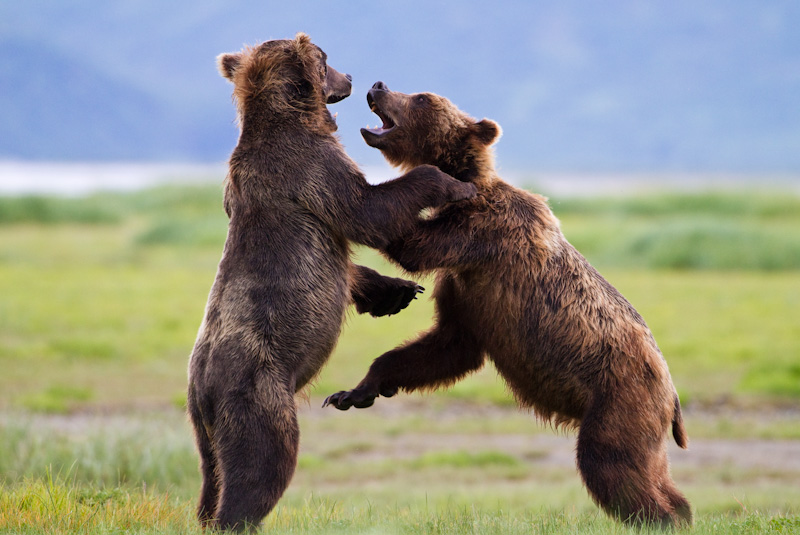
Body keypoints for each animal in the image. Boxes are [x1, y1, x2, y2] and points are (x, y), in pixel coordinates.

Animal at [188, 37, 476, 532]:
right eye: (326, 59)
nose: (353, 77)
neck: (293, 117)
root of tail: (204, 389)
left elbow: (349, 264)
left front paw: (396, 292)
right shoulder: (310, 169)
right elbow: (366, 209)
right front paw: (454, 182)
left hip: (202, 426)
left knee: (213, 475)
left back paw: (205, 512)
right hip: (258, 395)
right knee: (261, 466)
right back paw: (238, 516)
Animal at [324, 81, 692, 528]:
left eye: (423, 97)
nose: (378, 85)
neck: (467, 189)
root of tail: (672, 394)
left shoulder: (479, 236)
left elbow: (412, 243)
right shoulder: (465, 289)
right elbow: (447, 346)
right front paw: (354, 391)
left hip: (618, 399)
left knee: (611, 463)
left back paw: (660, 517)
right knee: (653, 472)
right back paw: (681, 509)